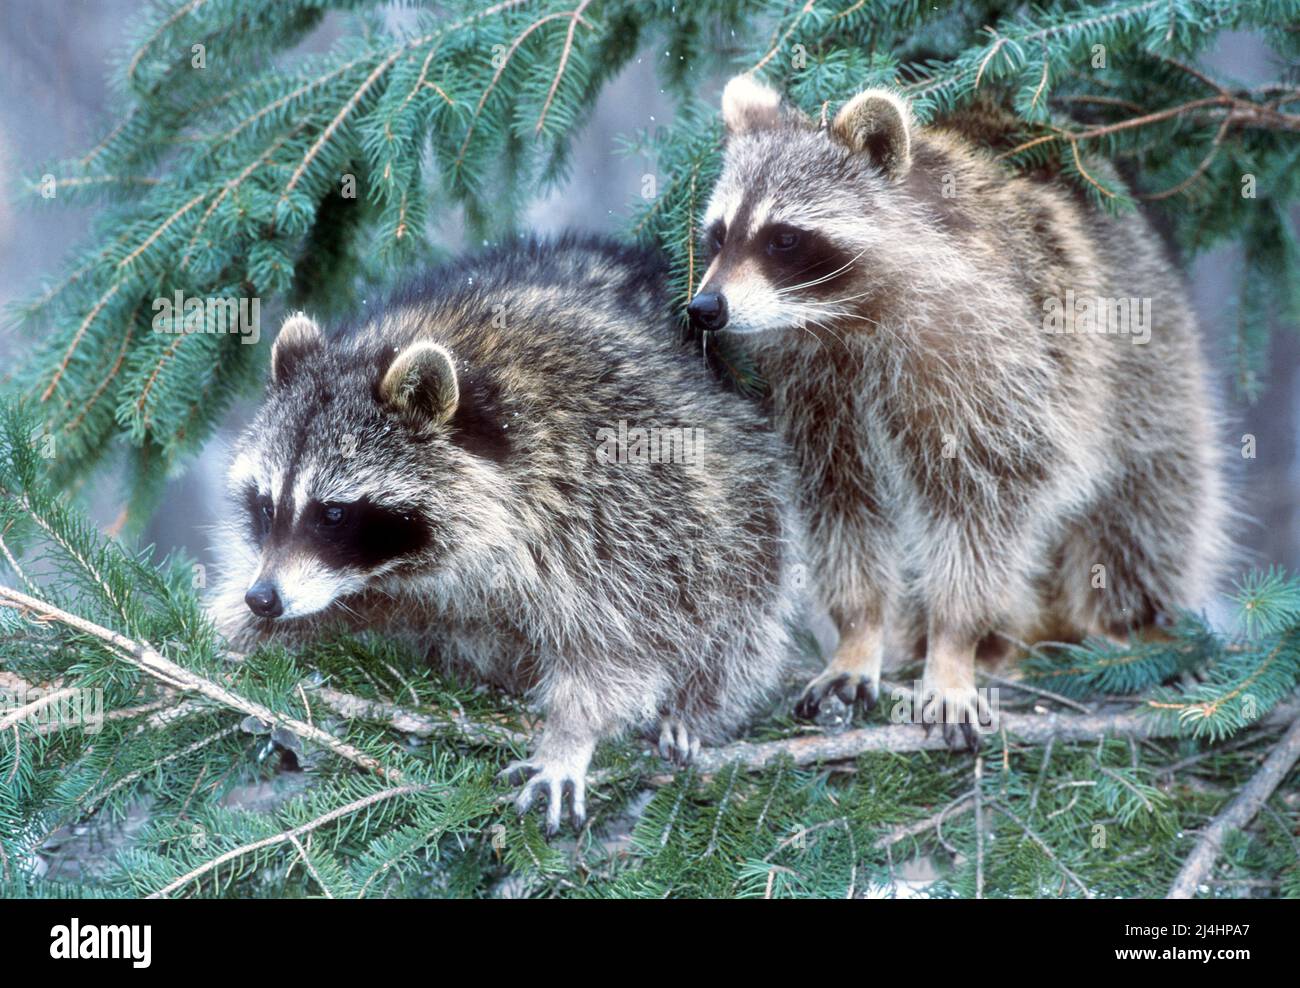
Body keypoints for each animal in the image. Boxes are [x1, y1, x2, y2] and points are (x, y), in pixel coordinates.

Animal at [210, 235, 804, 831]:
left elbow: (625, 641)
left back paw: (697, 705)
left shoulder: (622, 499)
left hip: (748, 505)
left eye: (332, 513)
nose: (263, 598)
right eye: (266, 506)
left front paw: (572, 734)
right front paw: (234, 638)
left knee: (743, 607)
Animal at [690, 76, 1229, 749]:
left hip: (1149, 364)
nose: (705, 307)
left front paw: (953, 645)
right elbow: (841, 504)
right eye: (718, 234)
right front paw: (860, 632)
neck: (841, 319)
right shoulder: (813, 395)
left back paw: (1132, 626)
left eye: (783, 237)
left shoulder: (993, 362)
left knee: (1144, 508)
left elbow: (982, 503)